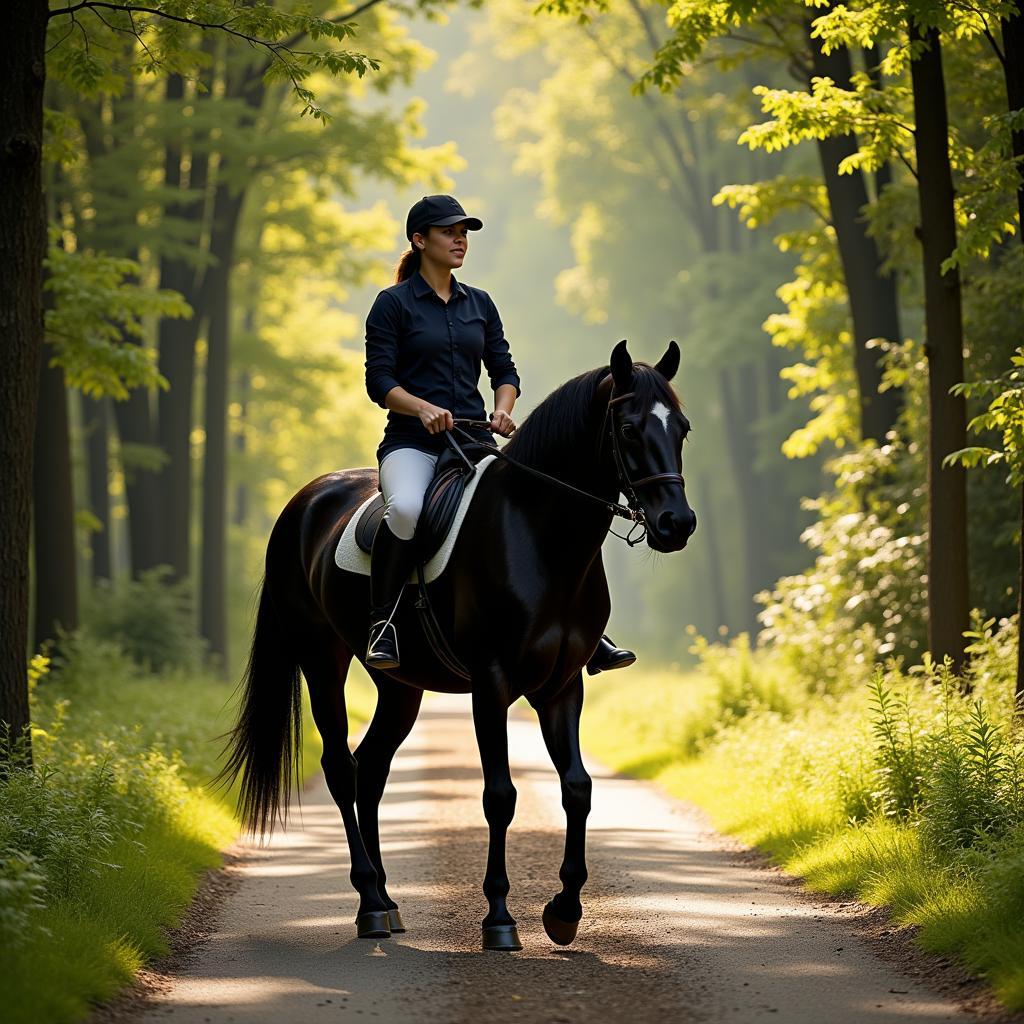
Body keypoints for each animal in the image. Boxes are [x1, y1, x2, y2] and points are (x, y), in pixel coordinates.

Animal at [221, 337, 700, 950]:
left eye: (681, 427)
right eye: (631, 427)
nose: (676, 525)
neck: (540, 535)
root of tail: (304, 501)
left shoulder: (563, 687)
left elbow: (577, 787)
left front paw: (564, 911)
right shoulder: (491, 684)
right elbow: (499, 796)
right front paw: (499, 917)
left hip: (399, 686)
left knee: (371, 768)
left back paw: (387, 902)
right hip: (321, 660)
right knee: (342, 769)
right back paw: (369, 904)